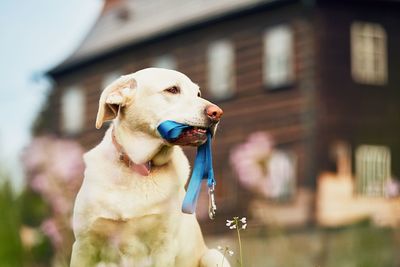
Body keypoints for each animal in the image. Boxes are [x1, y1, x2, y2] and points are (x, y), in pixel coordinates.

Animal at [70, 68, 230, 267]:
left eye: (198, 94)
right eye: (172, 89)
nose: (217, 113)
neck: (139, 165)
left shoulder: (164, 245)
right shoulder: (84, 244)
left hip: (213, 255)